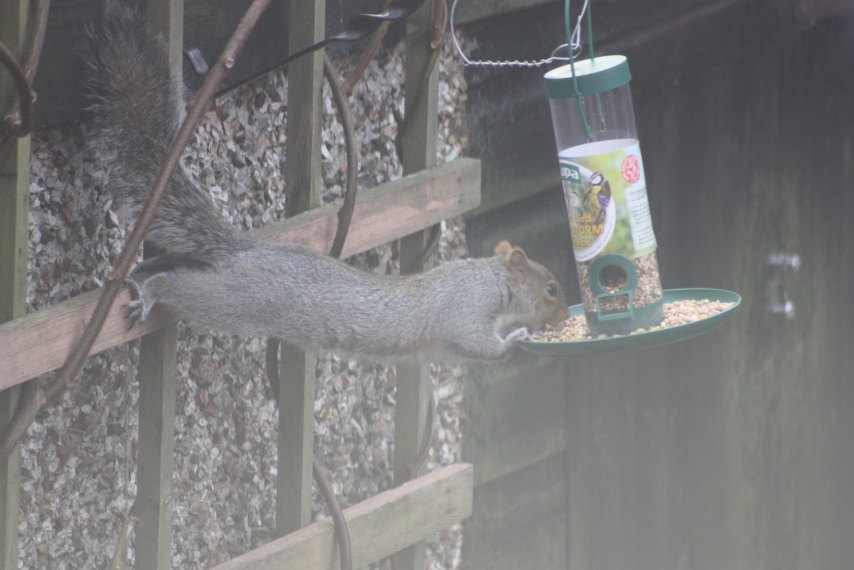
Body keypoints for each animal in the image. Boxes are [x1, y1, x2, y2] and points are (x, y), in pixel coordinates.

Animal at [84, 0, 569, 361]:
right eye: (551, 288)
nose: (565, 317)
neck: (494, 277)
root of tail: (248, 251)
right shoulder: (467, 308)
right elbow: (477, 342)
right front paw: (516, 340)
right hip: (236, 298)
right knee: (180, 286)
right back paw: (153, 290)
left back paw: (141, 273)